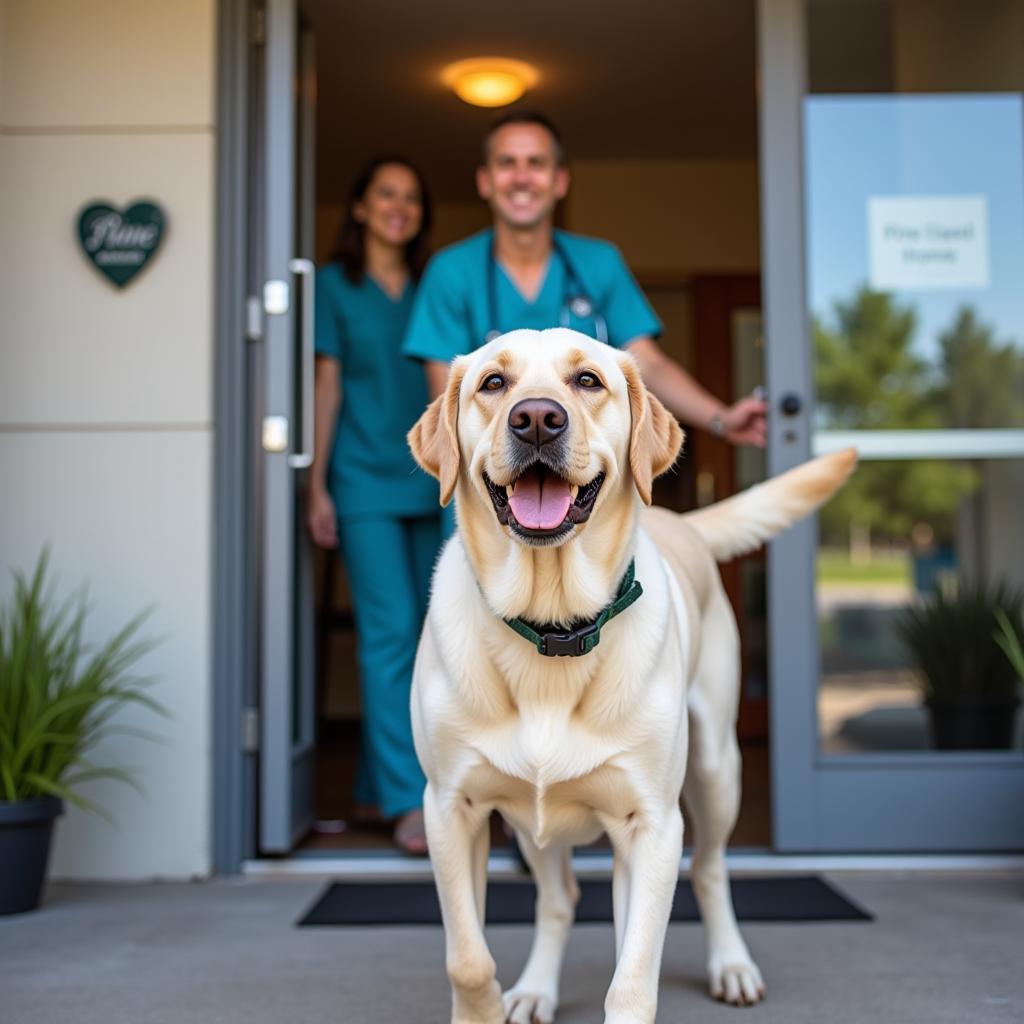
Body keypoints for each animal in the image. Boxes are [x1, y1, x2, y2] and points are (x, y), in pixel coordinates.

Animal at [407, 329, 856, 1024]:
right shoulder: (450, 808)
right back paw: (535, 990)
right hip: (531, 818)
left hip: (715, 771)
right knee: (559, 896)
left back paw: (732, 965)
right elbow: (468, 957)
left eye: (588, 381)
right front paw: (485, 1004)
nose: (537, 418)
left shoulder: (652, 824)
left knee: (709, 869)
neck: (554, 627)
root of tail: (679, 521)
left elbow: (633, 978)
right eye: (493, 383)